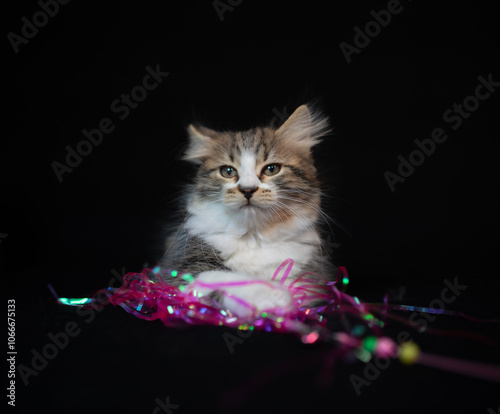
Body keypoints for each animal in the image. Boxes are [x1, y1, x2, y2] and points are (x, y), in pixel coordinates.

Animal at [160, 104, 336, 316]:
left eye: (271, 169)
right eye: (228, 171)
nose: (247, 189)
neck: (254, 236)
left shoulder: (312, 275)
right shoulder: (178, 269)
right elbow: (225, 277)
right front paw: (271, 296)